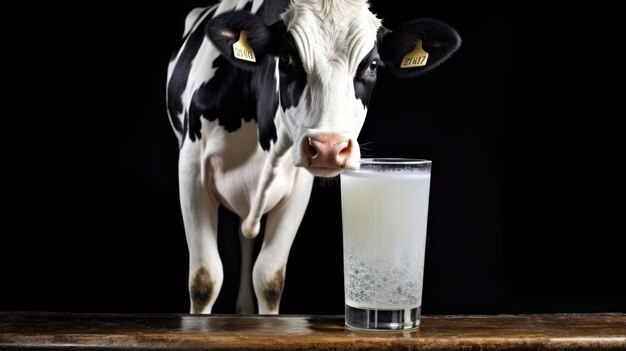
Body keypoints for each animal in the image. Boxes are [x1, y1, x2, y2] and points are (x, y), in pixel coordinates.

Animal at [166, 0, 458, 314]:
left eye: (372, 65)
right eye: (287, 58)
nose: (329, 147)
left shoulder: (298, 188)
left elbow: (269, 278)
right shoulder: (192, 171)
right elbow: (205, 279)